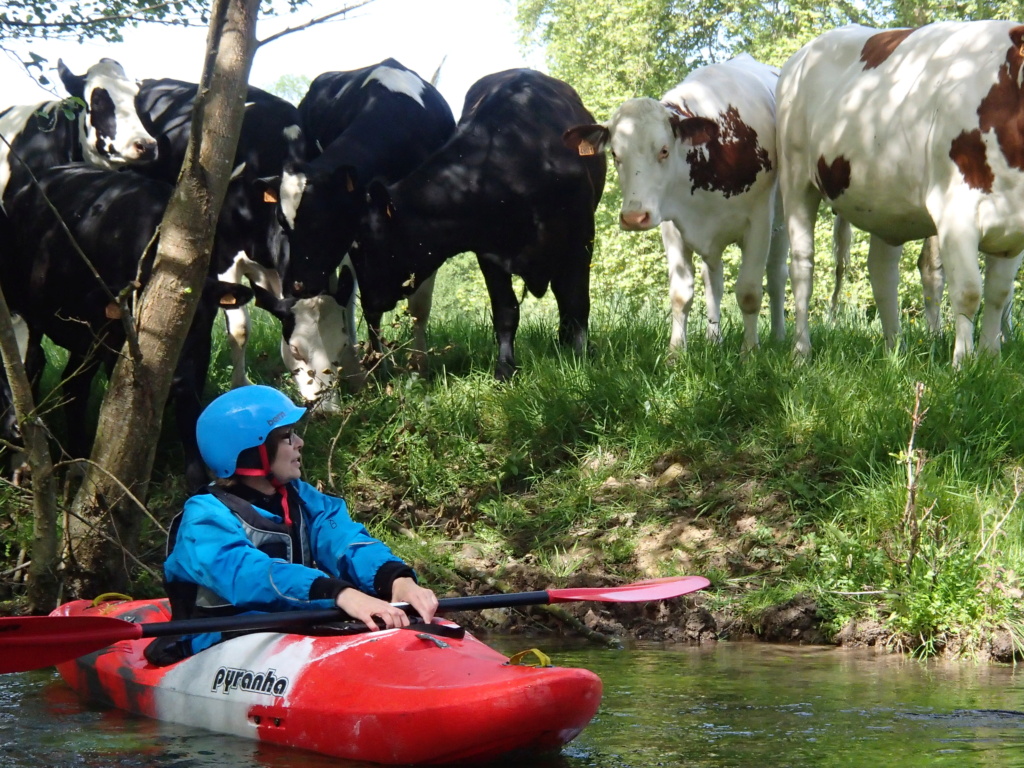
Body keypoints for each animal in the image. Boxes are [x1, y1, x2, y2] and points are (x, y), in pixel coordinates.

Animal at [1, 165, 251, 489]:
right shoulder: (115, 346)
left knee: (72, 383)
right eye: (136, 322)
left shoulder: (198, 356)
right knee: (35, 370)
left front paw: (197, 480)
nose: (174, 380)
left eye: (201, 321)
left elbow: (190, 415)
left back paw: (75, 461)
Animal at [266, 60, 454, 403]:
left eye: (323, 222)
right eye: (283, 225)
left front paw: (418, 368)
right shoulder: (355, 248)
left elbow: (418, 308)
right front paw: (375, 365)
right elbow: (367, 304)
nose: (297, 285)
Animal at [348, 69, 602, 382]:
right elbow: (505, 311)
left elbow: (577, 300)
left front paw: (581, 361)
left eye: (364, 245)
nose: (368, 305)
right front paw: (504, 369)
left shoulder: (581, 237)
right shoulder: (489, 253)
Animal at [565, 55, 786, 354]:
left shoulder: (760, 221)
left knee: (777, 277)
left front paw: (750, 353)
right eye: (615, 154)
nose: (634, 217)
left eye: (664, 150)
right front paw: (676, 353)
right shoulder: (672, 227)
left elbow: (750, 292)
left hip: (782, 225)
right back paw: (714, 339)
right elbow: (681, 295)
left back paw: (778, 336)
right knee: (713, 282)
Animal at [774, 20, 1024, 364]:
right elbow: (969, 291)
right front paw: (962, 364)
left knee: (882, 271)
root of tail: (800, 56)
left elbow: (999, 293)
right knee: (802, 265)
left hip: (884, 204)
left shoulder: (1014, 228)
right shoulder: (955, 214)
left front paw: (989, 361)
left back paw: (895, 352)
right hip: (796, 177)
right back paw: (801, 351)